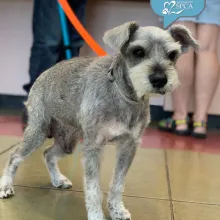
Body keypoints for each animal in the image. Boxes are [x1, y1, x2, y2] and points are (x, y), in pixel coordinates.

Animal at [0, 21, 199, 220]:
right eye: (138, 52)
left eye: (172, 55)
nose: (160, 79)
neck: (123, 95)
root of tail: (44, 73)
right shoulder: (94, 147)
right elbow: (93, 188)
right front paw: (96, 214)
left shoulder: (128, 146)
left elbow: (118, 183)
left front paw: (117, 209)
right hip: (37, 132)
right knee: (14, 156)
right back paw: (6, 185)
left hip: (67, 143)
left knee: (47, 153)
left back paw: (58, 179)